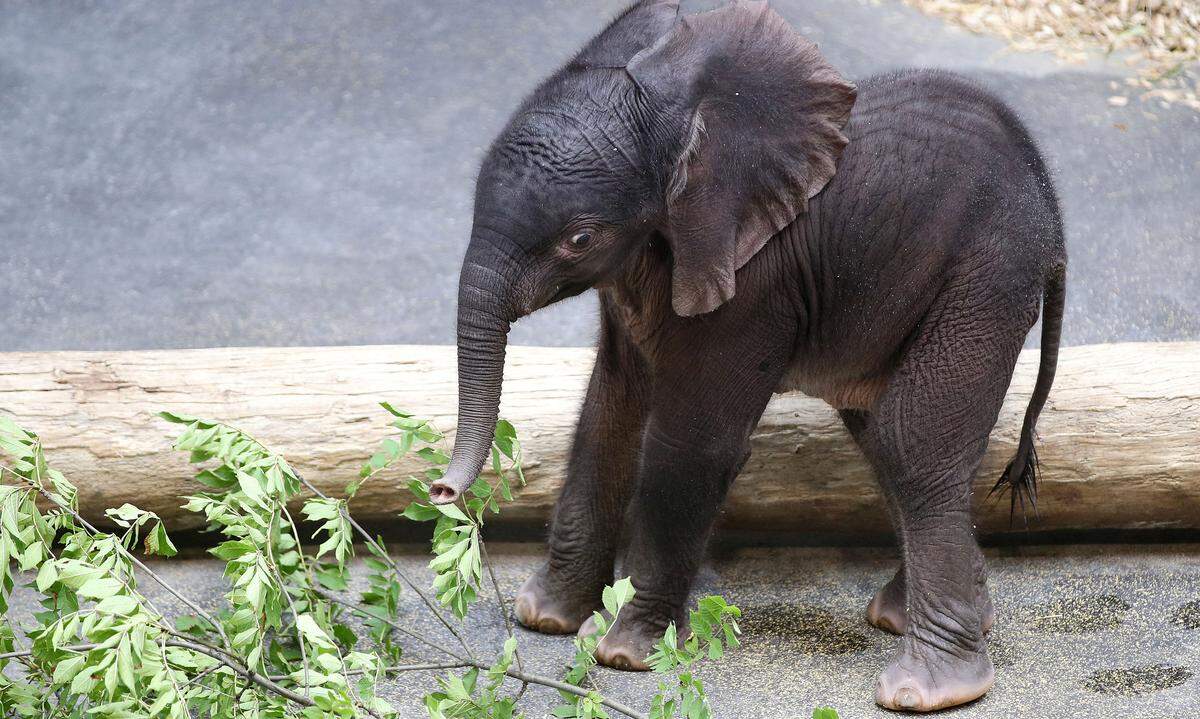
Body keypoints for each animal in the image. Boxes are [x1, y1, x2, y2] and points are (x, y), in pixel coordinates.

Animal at [427, 0, 1065, 710]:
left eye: (580, 239)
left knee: (910, 444)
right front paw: (546, 620)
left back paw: (929, 689)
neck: (673, 119)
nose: (441, 489)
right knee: (880, 437)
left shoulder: (752, 283)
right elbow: (606, 417)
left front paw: (625, 654)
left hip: (986, 276)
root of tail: (1054, 215)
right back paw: (926, 619)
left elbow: (690, 447)